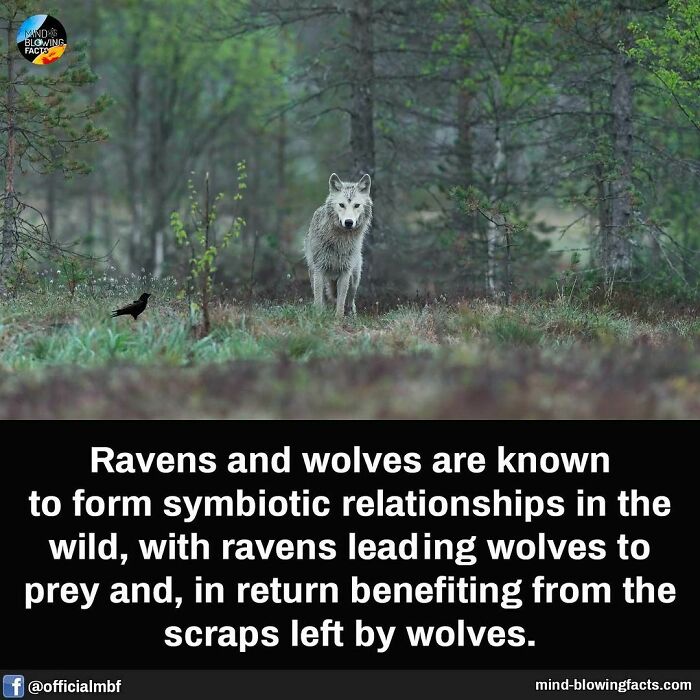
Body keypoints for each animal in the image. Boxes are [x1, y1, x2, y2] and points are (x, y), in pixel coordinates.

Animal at [304, 172, 372, 317]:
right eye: (341, 205)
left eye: (357, 205)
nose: (348, 222)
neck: (339, 241)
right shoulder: (319, 270)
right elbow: (319, 300)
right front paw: (318, 317)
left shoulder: (345, 272)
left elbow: (341, 302)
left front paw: (338, 318)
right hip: (314, 274)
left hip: (354, 279)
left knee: (350, 300)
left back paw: (351, 315)